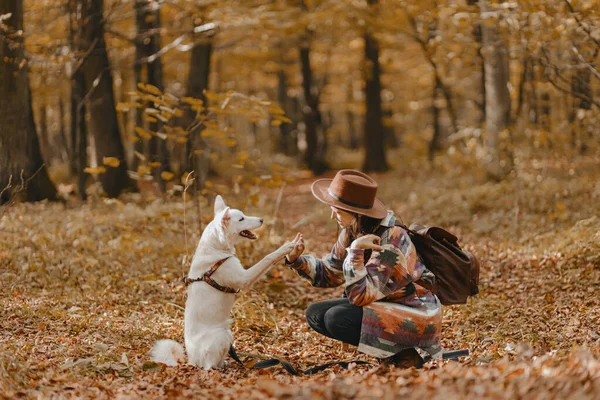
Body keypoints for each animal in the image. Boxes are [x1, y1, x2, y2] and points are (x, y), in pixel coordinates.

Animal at [150, 195, 296, 370]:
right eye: (241, 219)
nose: (261, 219)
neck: (216, 249)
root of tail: (191, 361)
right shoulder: (244, 278)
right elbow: (268, 258)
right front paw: (287, 247)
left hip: (228, 334)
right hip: (221, 335)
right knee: (208, 366)